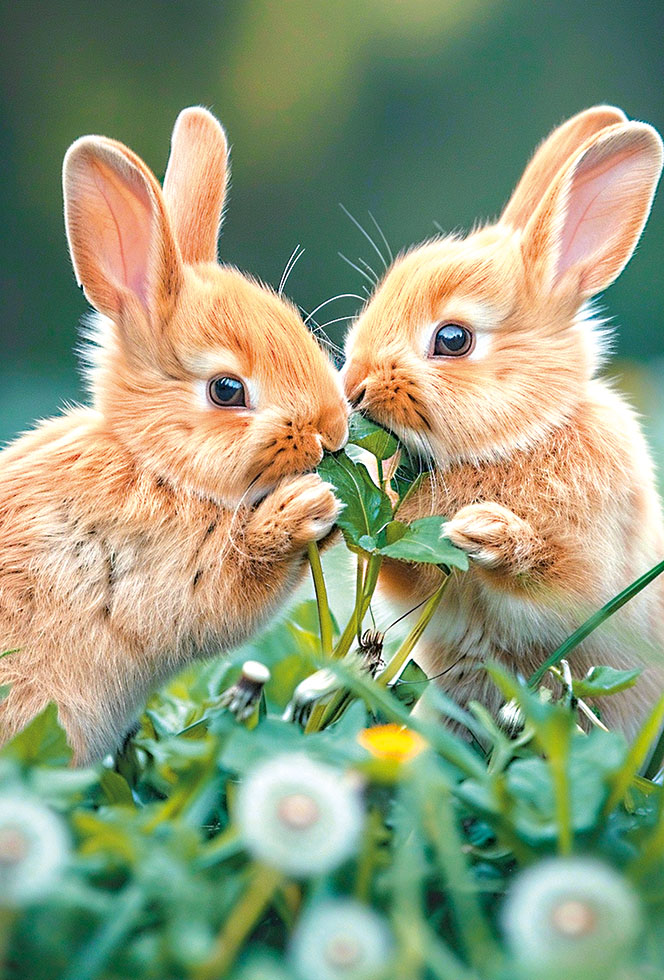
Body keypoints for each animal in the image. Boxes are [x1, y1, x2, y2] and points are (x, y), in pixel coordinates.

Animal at [342, 105, 664, 738]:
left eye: (453, 339)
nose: (353, 387)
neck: (521, 439)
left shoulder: (592, 564)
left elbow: (557, 580)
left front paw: (484, 531)